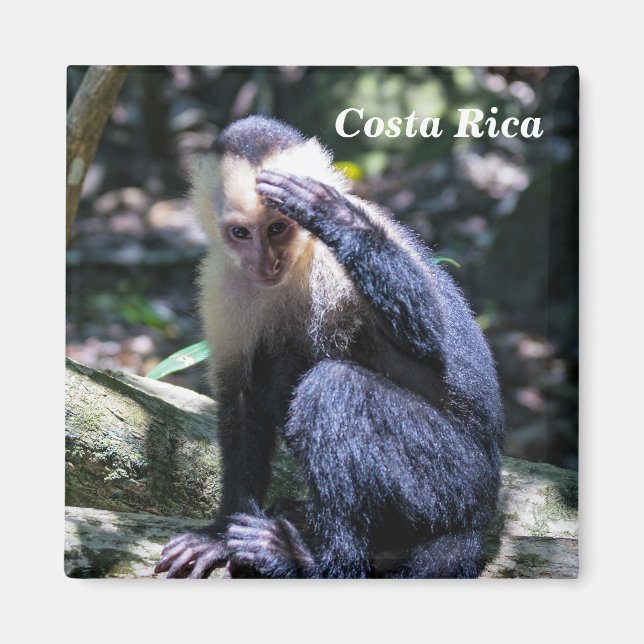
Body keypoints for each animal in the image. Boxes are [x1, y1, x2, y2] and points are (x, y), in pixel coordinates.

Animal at [154, 115, 504, 579]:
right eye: (241, 233)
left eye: (278, 227)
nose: (265, 264)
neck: (297, 263)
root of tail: (483, 513)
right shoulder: (223, 281)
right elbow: (240, 396)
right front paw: (220, 533)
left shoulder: (339, 258)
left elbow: (429, 338)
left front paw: (330, 212)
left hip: (458, 482)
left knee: (333, 389)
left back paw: (317, 562)